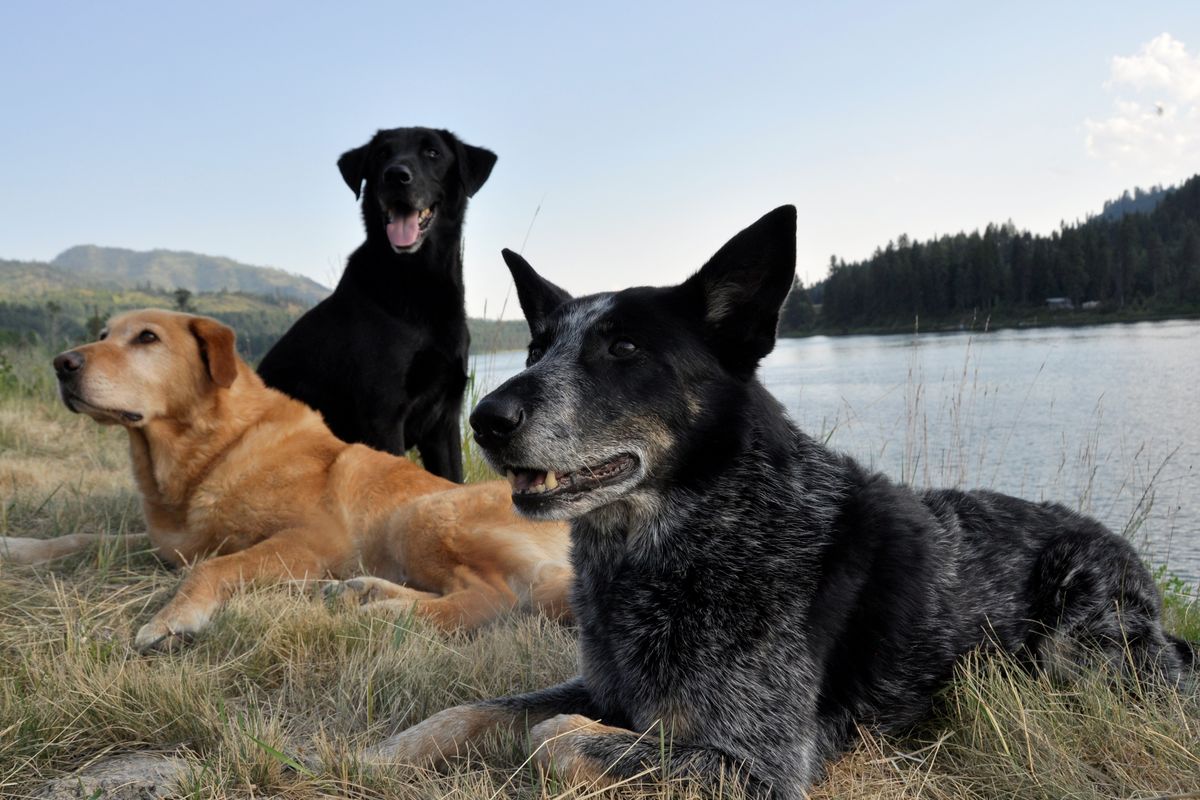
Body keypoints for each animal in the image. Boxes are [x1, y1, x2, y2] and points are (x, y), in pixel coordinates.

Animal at [4, 309, 568, 652]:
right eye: (103, 336)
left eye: (147, 337)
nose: (62, 363)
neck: (210, 451)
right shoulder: (170, 543)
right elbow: (84, 537)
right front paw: (18, 547)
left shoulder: (313, 540)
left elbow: (214, 567)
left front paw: (171, 618)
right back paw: (362, 594)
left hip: (420, 514)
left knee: (491, 599)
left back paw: (374, 616)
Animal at [256, 127, 492, 479]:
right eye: (381, 154)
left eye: (433, 153)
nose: (395, 175)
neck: (416, 285)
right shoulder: (383, 417)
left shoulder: (444, 422)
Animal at [360, 205, 1195, 796]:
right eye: (538, 349)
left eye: (624, 348)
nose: (484, 418)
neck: (688, 540)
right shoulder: (605, 686)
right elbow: (480, 707)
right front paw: (382, 753)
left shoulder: (756, 762)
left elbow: (552, 738)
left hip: (1080, 634)